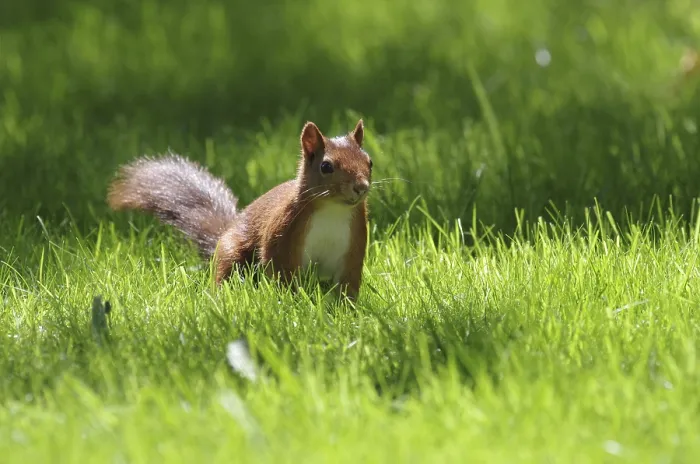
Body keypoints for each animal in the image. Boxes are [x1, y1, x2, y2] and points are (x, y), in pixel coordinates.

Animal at [107, 119, 373, 300]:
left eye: (369, 162)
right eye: (326, 166)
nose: (361, 187)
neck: (333, 212)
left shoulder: (353, 248)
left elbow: (347, 285)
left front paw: (344, 310)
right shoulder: (283, 237)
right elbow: (282, 276)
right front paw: (292, 303)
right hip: (231, 252)